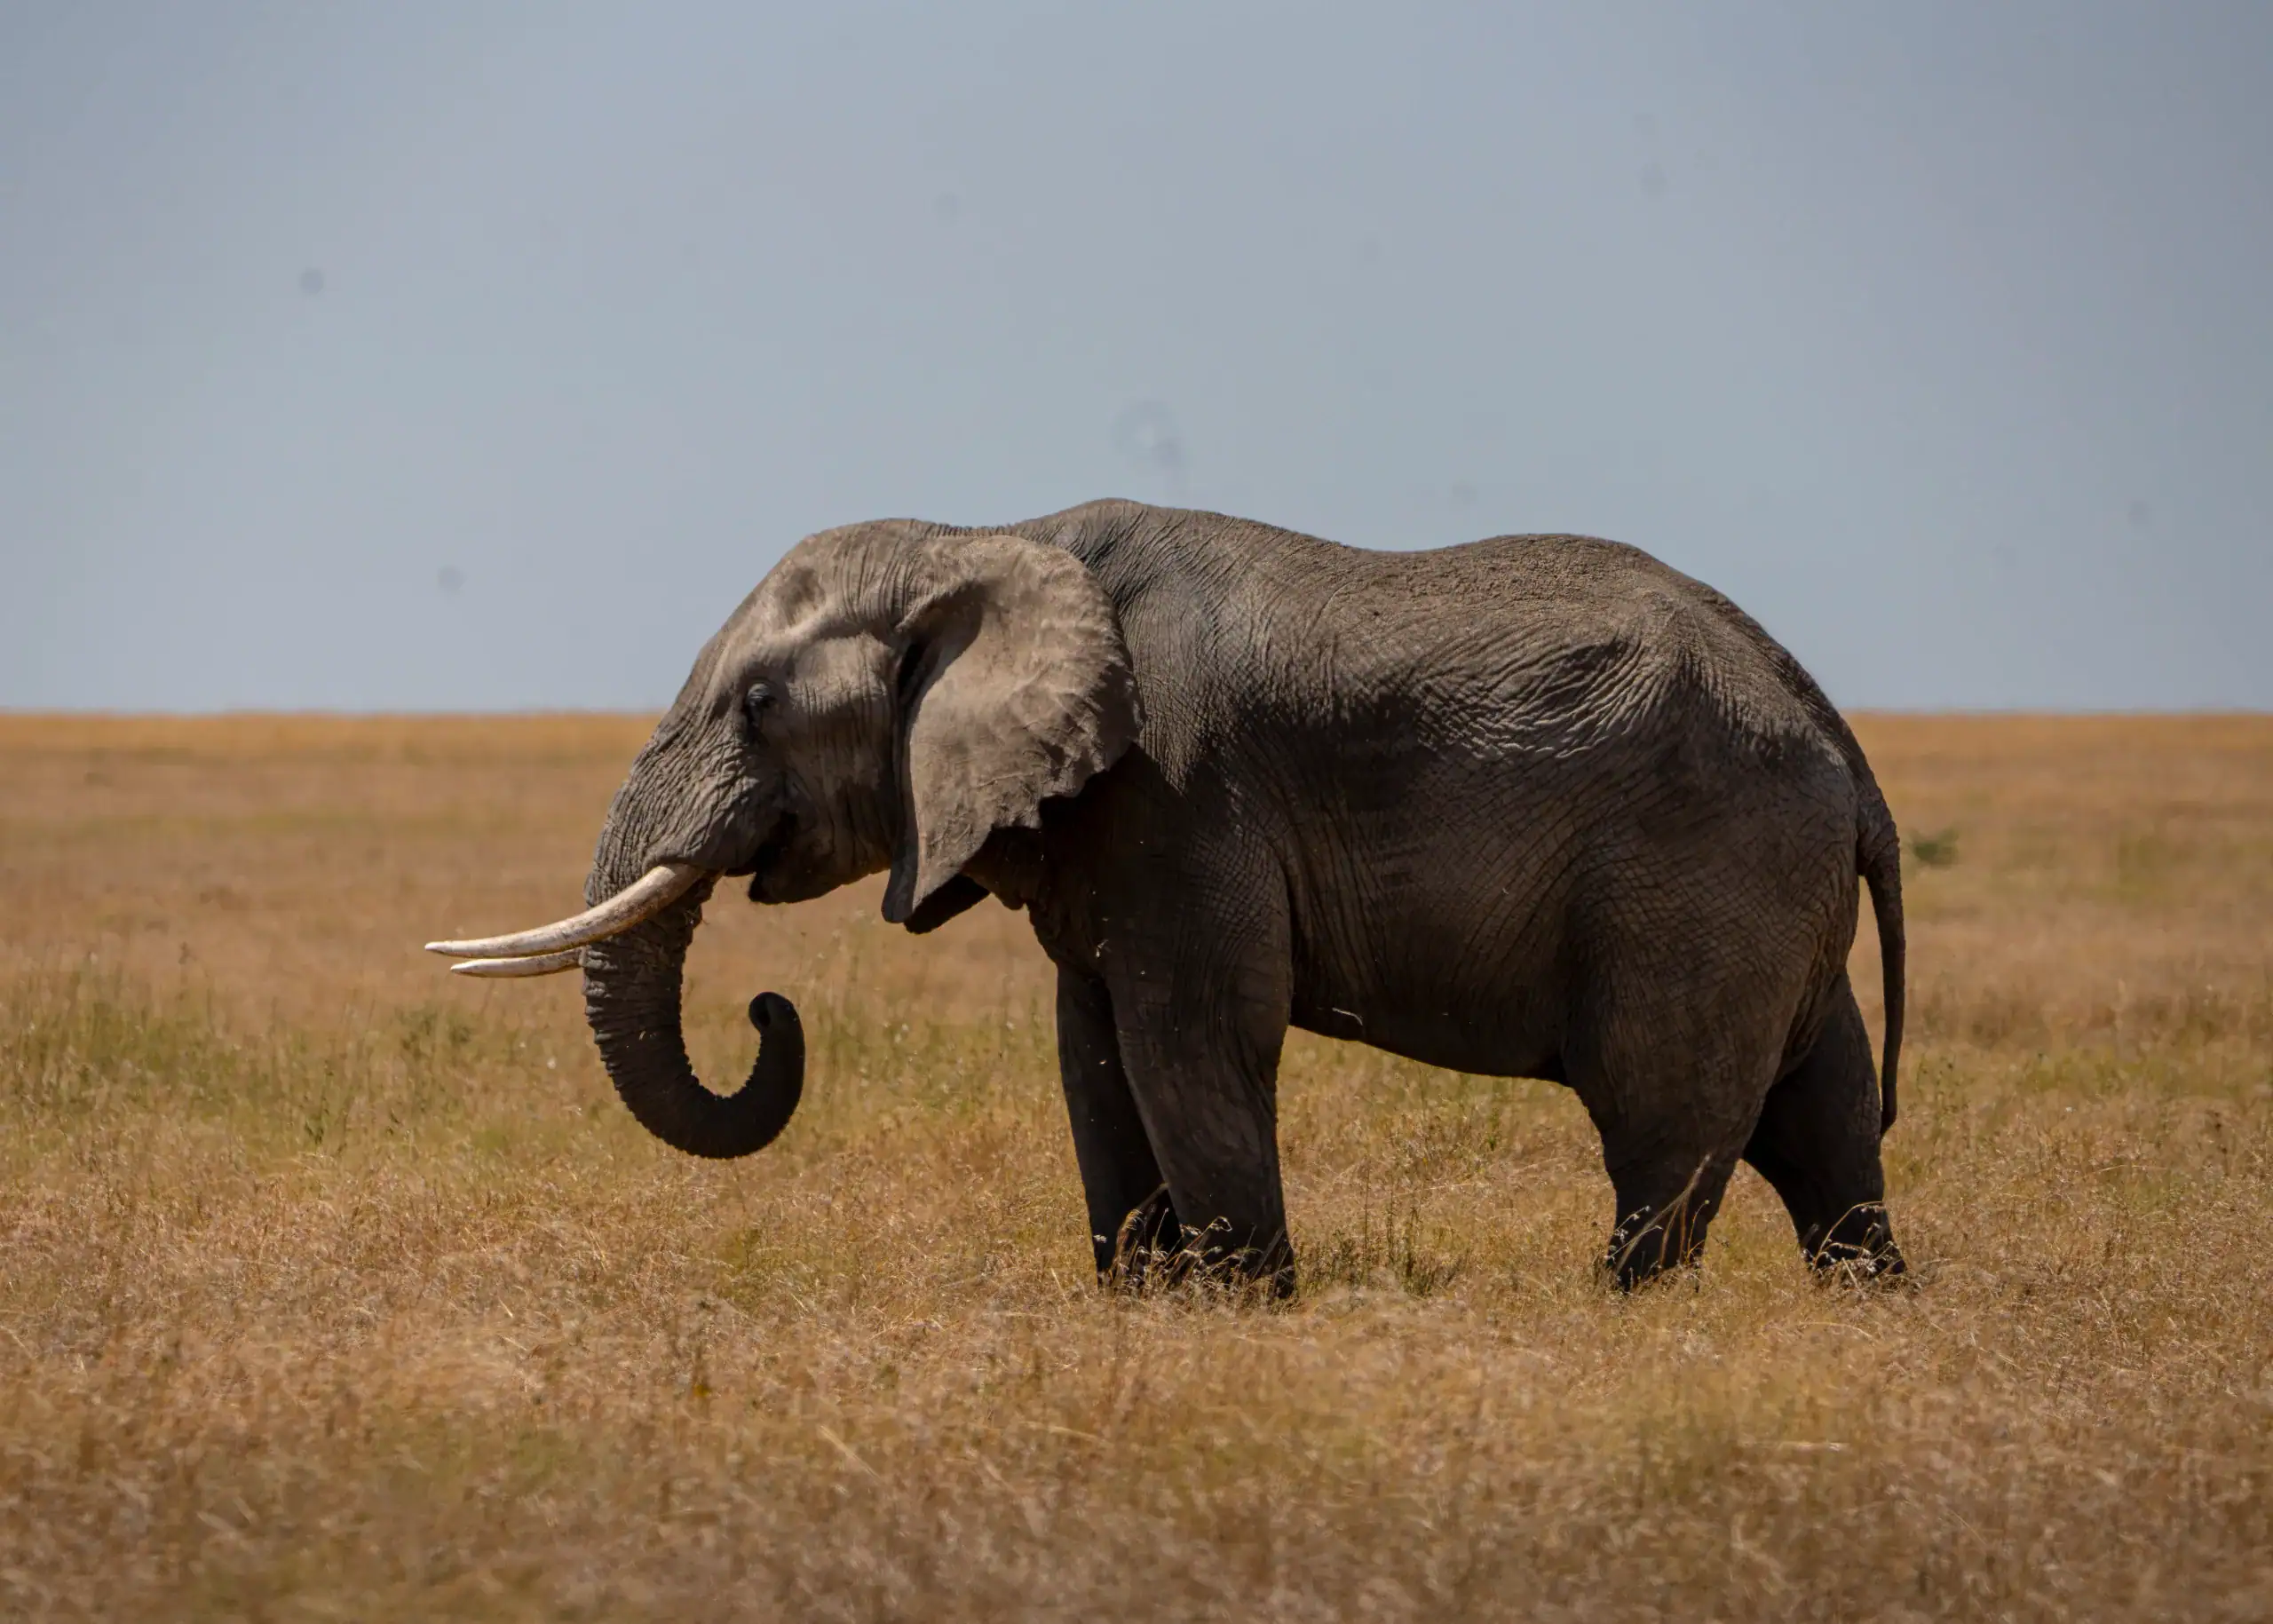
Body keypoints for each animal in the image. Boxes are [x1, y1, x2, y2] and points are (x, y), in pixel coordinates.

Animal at [428, 500, 1906, 1292]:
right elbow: (1093, 1054)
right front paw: (1145, 1305)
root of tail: (1841, 742)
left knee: (1666, 1125)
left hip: (1701, 872)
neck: (994, 540)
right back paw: (1870, 1308)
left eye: (756, 704)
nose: (766, 1011)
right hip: (1769, 886)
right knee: (1823, 1119)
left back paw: (1612, 1317)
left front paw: (1248, 1310)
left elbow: (1191, 1039)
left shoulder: (1181, 794)